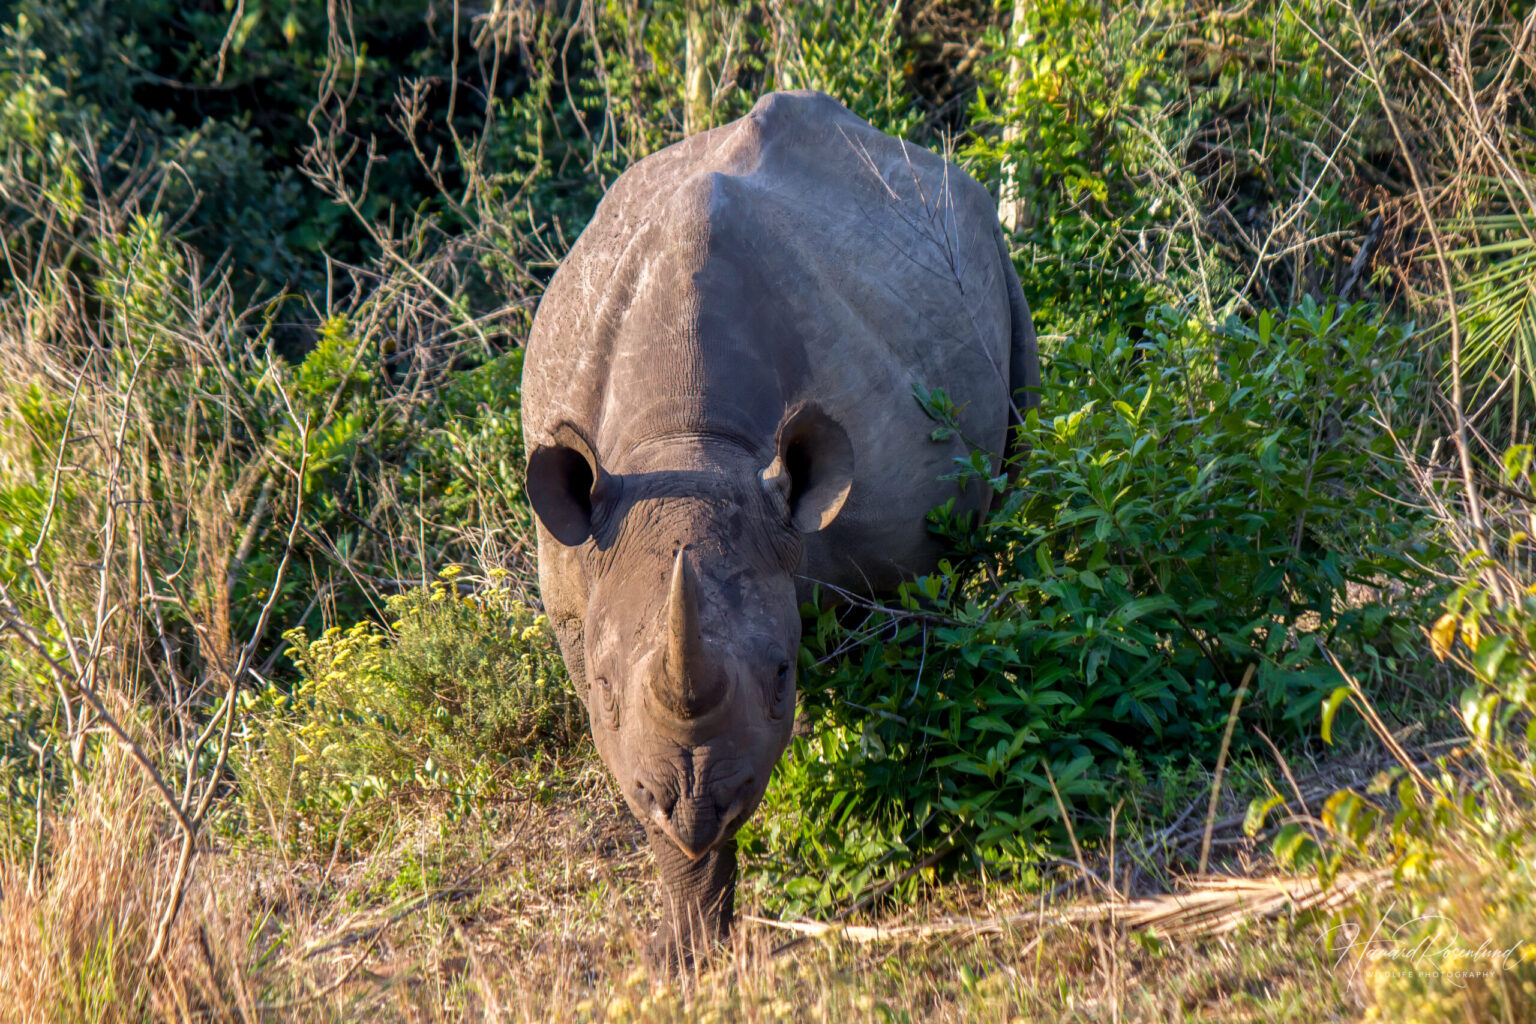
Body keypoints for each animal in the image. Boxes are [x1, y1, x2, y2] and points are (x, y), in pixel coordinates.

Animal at [521, 90, 1039, 966]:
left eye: (783, 676)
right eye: (603, 686)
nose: (699, 802)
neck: (689, 443)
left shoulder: (892, 556)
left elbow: (899, 679)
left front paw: (899, 829)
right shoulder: (580, 589)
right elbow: (642, 787)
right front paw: (684, 956)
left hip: (994, 259)